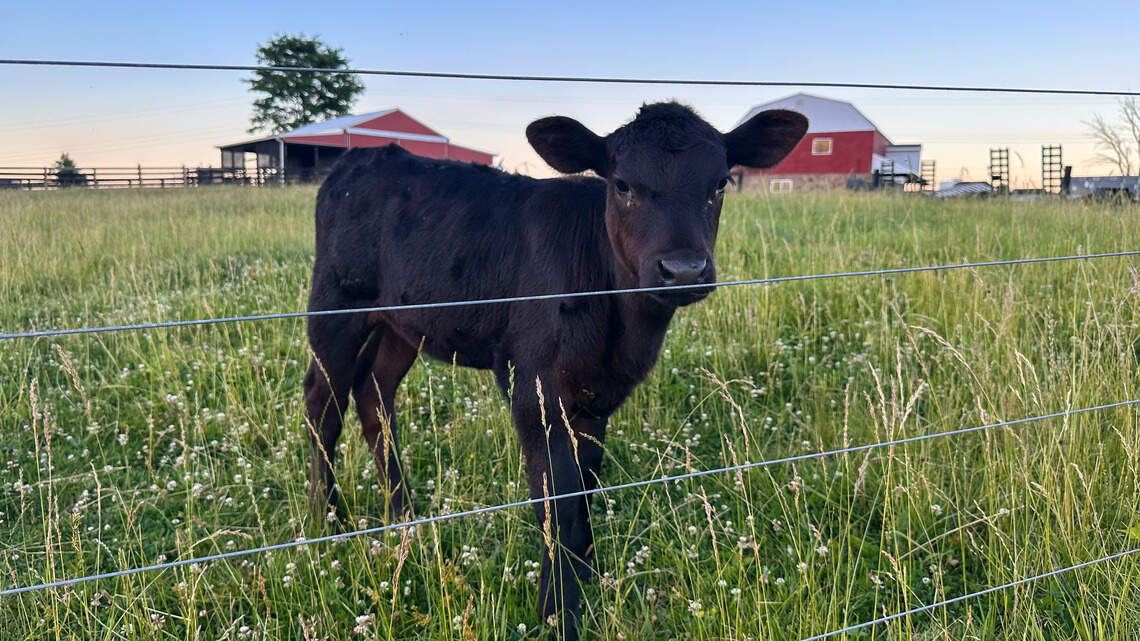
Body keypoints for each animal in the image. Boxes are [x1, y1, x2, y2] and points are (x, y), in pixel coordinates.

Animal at [303, 102, 807, 639]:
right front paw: (559, 611)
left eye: (720, 184)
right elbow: (556, 500)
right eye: (622, 185)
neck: (620, 327)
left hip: (402, 323)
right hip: (335, 307)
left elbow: (586, 485)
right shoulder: (534, 387)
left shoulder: (597, 394)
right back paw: (328, 518)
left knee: (374, 393)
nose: (684, 270)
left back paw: (405, 516)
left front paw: (586, 574)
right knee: (322, 404)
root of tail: (362, 159)